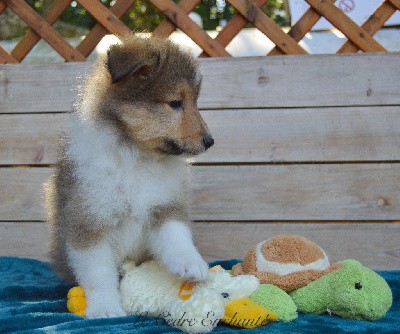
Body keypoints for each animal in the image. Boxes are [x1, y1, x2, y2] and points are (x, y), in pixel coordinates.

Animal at [45, 36, 214, 318]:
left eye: (195, 102)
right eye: (175, 103)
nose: (210, 141)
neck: (136, 159)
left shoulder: (163, 205)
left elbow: (177, 235)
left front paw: (193, 264)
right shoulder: (88, 221)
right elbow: (99, 274)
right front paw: (105, 308)